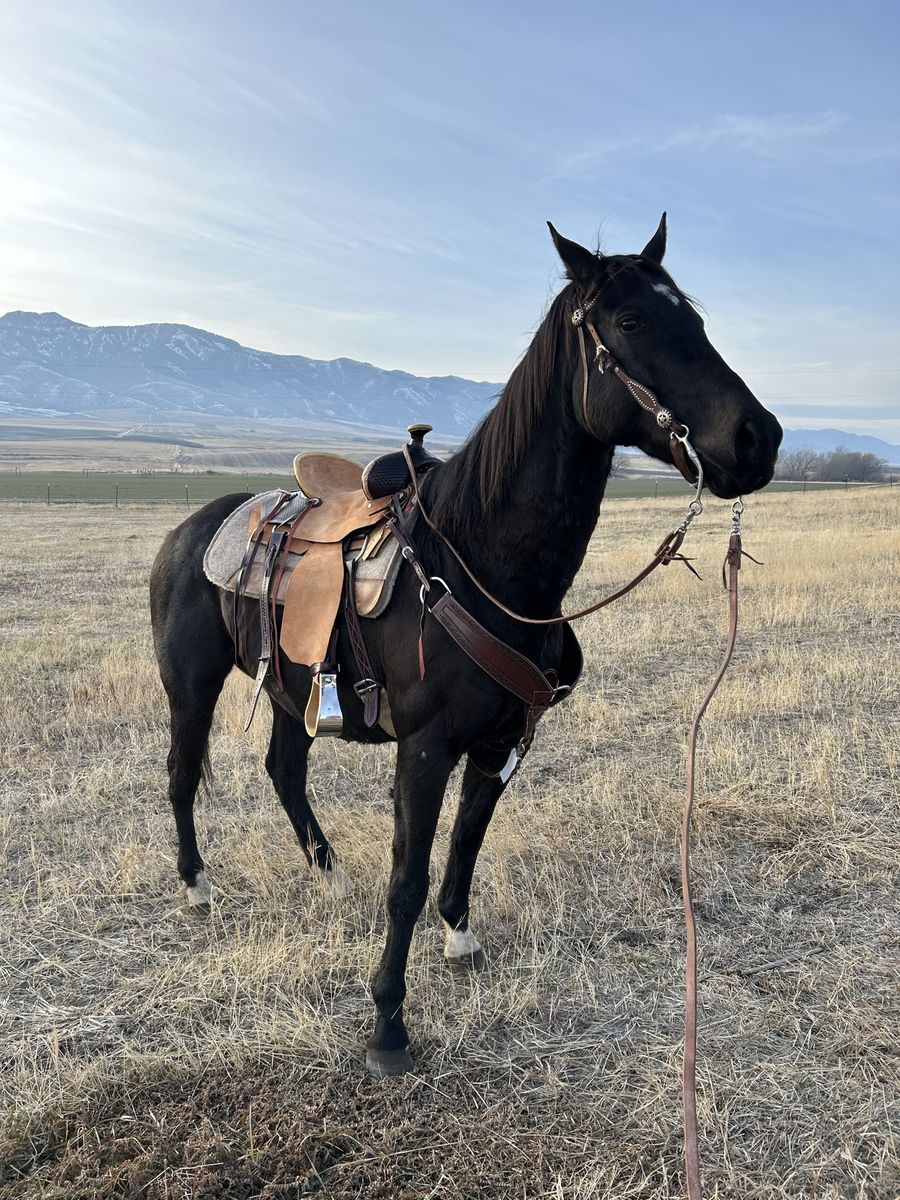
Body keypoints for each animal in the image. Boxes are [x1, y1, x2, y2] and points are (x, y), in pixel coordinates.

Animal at [150, 215, 782, 1077]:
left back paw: (327, 873)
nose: (758, 439)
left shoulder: (504, 740)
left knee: (284, 769)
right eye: (631, 321)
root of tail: (192, 528)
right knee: (183, 775)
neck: (484, 563)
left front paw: (459, 937)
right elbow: (408, 877)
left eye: (697, 319)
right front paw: (387, 1023)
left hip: (294, 685)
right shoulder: (425, 750)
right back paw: (197, 886)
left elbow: (466, 842)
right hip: (192, 682)